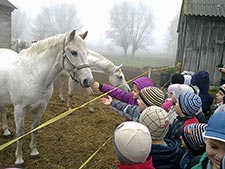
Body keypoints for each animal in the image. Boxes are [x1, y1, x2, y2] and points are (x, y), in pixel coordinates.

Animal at [0, 29, 93, 166]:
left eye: (87, 53)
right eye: (73, 52)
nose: (88, 80)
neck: (34, 75)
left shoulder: (41, 107)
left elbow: (35, 129)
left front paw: (34, 152)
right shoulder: (19, 110)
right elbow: (20, 133)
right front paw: (19, 159)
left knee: (3, 111)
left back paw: (6, 132)